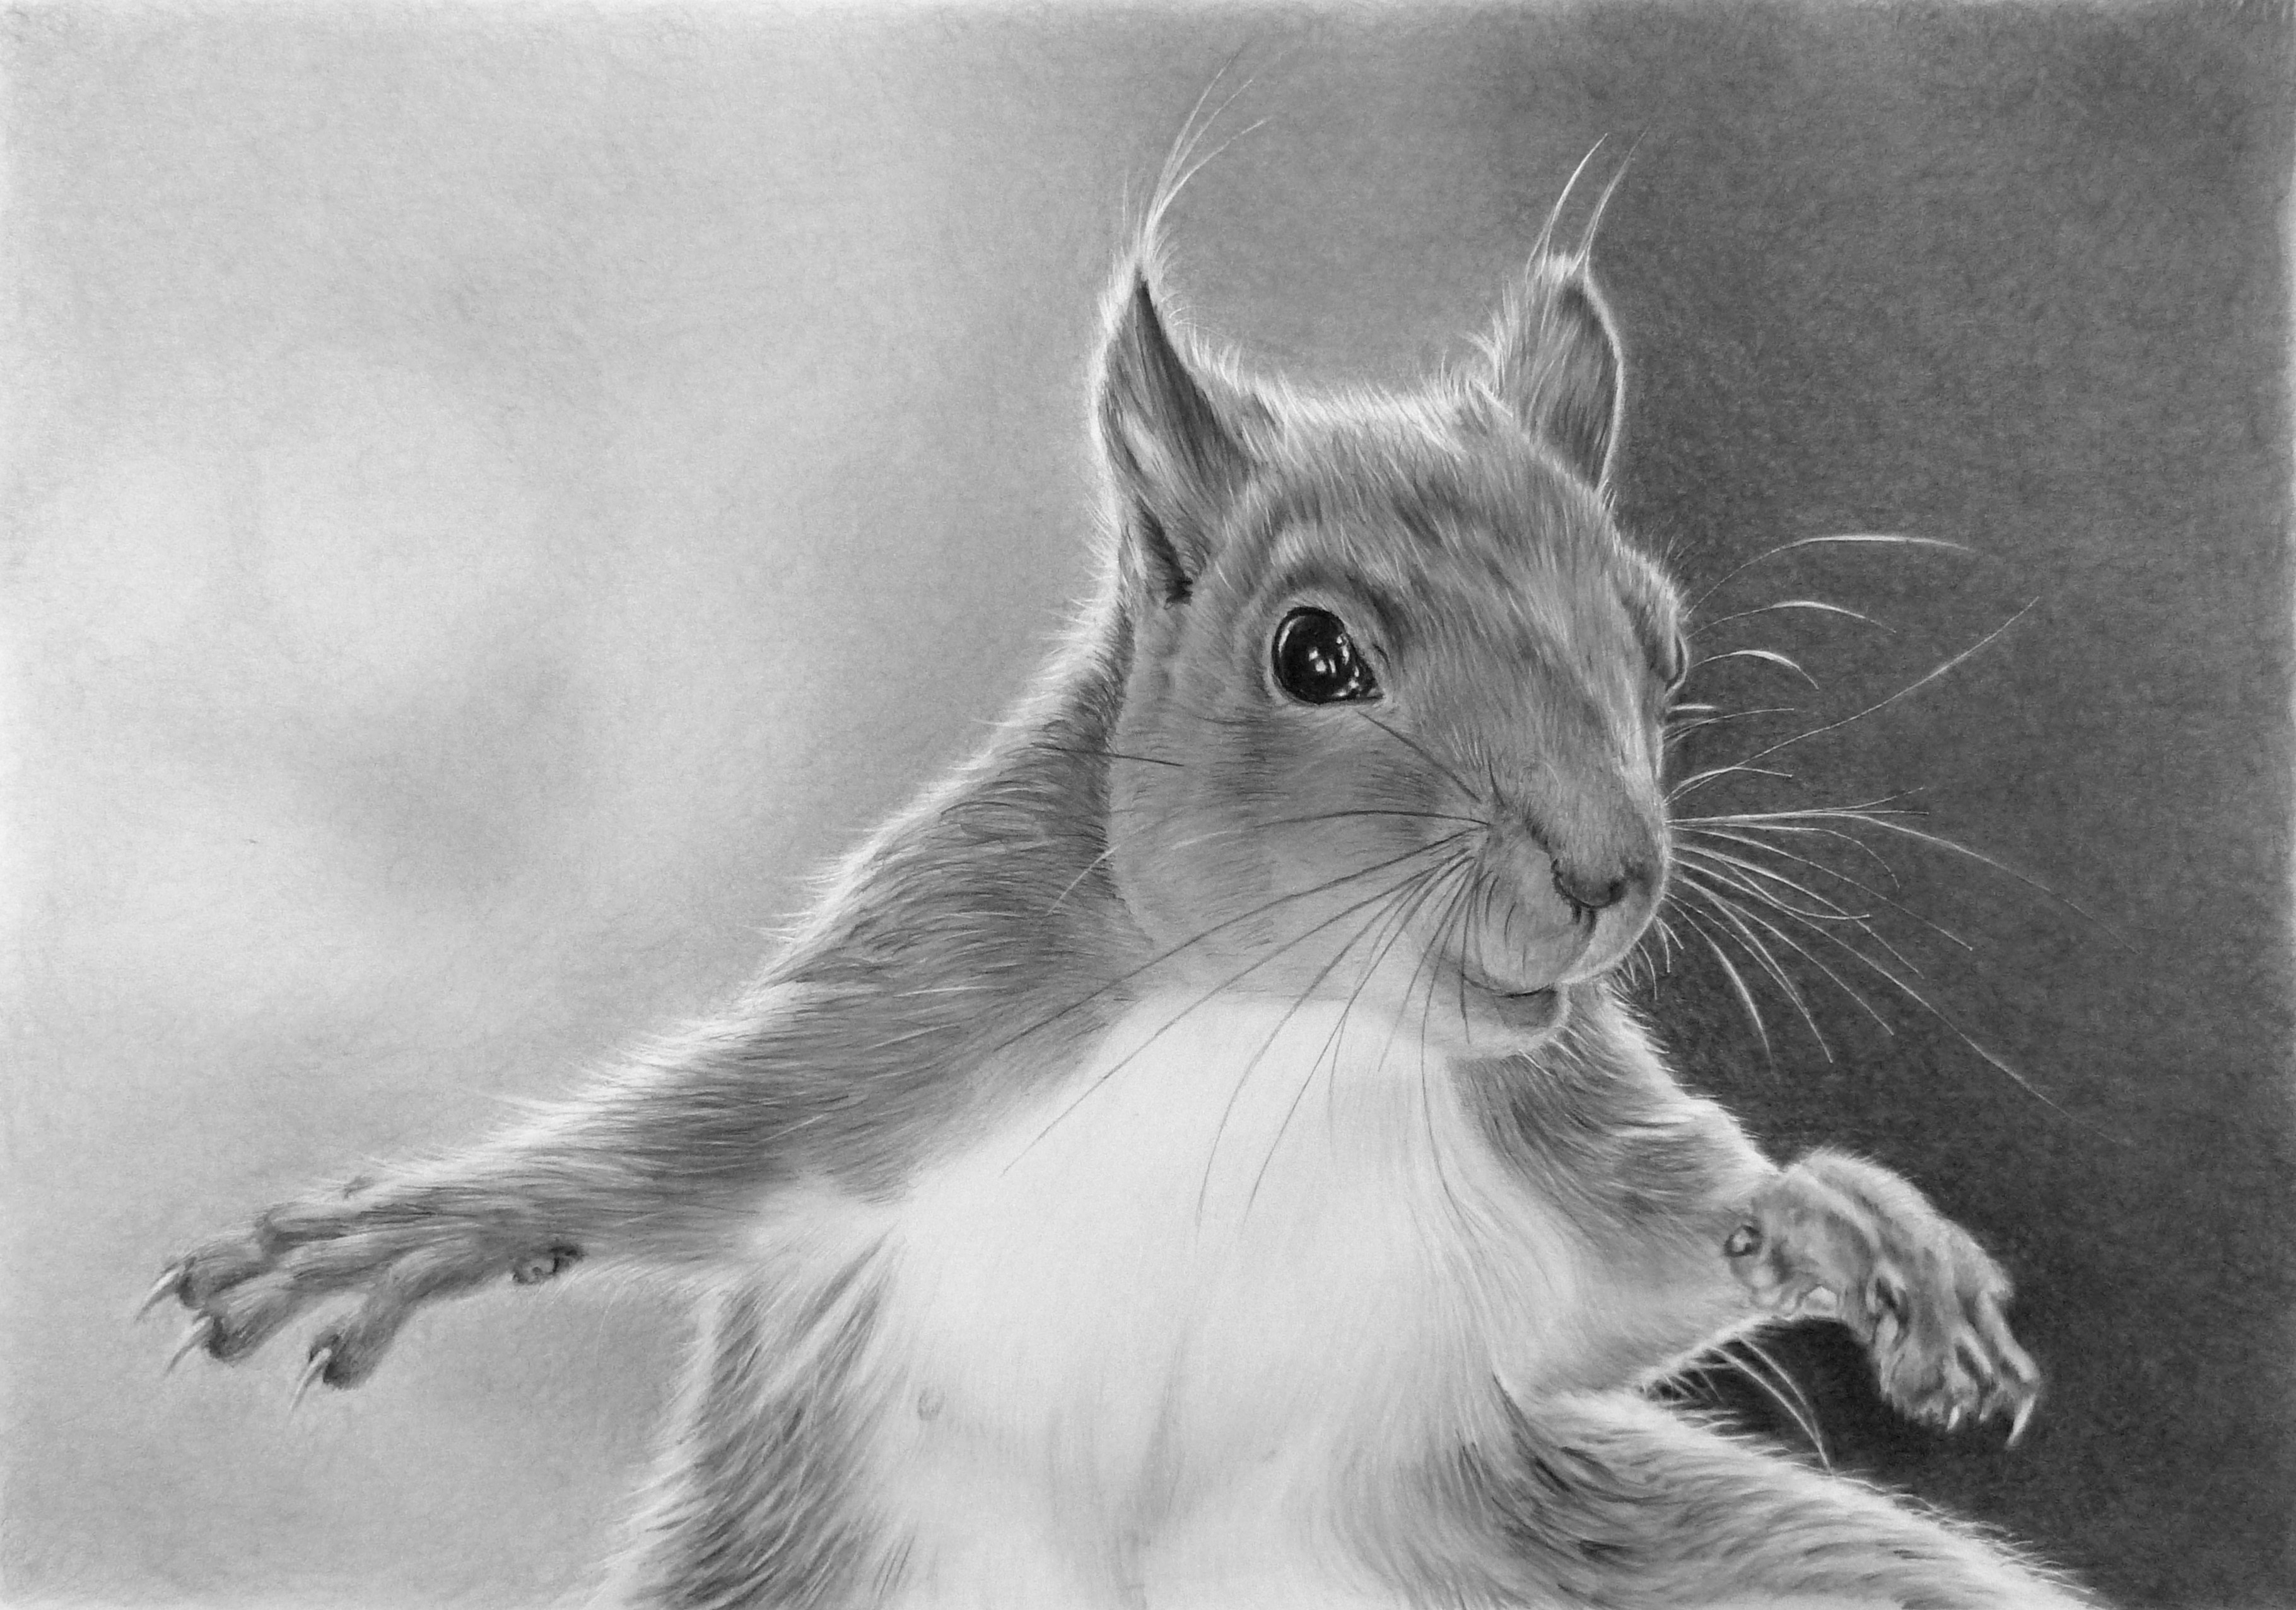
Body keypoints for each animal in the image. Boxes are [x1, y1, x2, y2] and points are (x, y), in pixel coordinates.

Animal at [149, 138, 2099, 1610]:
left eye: (1659, 642)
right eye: (1312, 655)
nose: (1609, 873)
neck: (1285, 1029)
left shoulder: (1542, 1142)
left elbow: (1640, 1267)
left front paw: (1848, 1224)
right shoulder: (926, 1007)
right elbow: (711, 1135)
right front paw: (422, 1225)